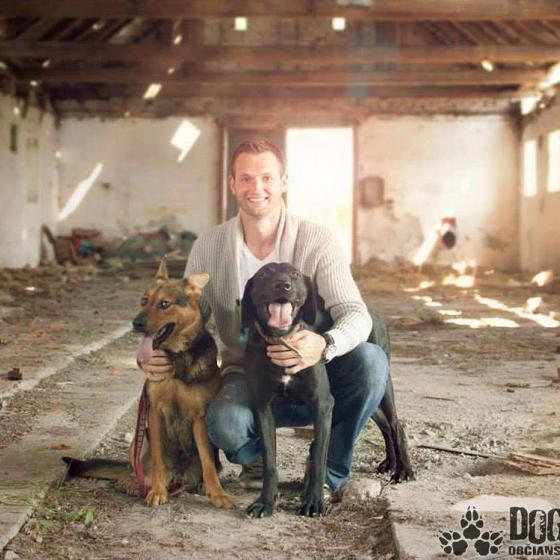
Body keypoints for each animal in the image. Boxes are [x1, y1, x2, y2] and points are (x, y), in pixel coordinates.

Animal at [64, 259, 234, 509]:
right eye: (144, 300)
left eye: (164, 304)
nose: (136, 323)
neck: (175, 359)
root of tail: (179, 476)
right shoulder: (154, 414)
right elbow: (157, 461)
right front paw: (157, 491)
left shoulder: (199, 419)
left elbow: (208, 464)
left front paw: (217, 493)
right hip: (138, 439)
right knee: (137, 467)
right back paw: (132, 481)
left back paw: (200, 485)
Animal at [241, 263, 414, 518]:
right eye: (264, 274)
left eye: (294, 274)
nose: (283, 285)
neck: (282, 340)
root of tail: (370, 308)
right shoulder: (263, 407)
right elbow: (270, 461)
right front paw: (266, 502)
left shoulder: (322, 405)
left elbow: (320, 457)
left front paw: (313, 502)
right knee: (385, 424)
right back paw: (390, 464)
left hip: (384, 383)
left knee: (396, 425)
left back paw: (404, 470)